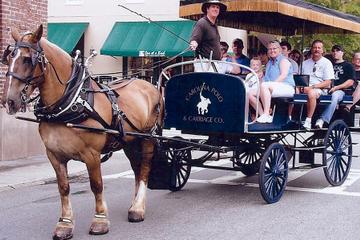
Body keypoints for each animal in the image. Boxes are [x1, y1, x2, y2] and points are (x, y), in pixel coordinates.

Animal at [0, 24, 164, 240]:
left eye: (28, 59)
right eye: (8, 58)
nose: (8, 101)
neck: (70, 103)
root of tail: (149, 85)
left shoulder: (91, 154)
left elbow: (96, 185)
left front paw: (100, 221)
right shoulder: (54, 155)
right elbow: (63, 187)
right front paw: (65, 224)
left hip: (147, 138)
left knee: (144, 169)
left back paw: (137, 208)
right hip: (130, 141)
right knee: (137, 170)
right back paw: (135, 204)